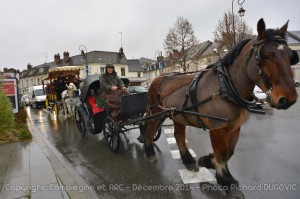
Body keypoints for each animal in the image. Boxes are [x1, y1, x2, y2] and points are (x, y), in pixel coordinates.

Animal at [145, 18, 298, 197]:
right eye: (265, 56)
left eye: (290, 56)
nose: (288, 99)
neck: (225, 88)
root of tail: (160, 77)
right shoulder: (218, 129)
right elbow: (222, 154)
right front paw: (226, 180)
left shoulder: (235, 127)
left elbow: (229, 152)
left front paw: (207, 161)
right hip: (155, 111)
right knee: (150, 128)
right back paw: (149, 152)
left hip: (178, 114)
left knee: (179, 136)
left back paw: (189, 161)